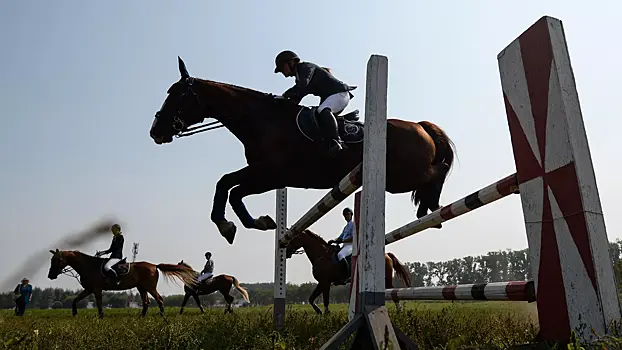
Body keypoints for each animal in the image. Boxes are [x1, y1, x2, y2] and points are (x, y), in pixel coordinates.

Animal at [46, 249, 197, 318]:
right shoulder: (89, 289)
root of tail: (154, 265)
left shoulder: (96, 289)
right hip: (141, 288)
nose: (50, 275)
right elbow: (75, 300)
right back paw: (142, 317)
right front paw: (74, 313)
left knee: (159, 299)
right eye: (51, 260)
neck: (88, 265)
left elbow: (99, 304)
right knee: (146, 302)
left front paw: (100, 317)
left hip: (149, 287)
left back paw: (162, 316)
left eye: (57, 260)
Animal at [149, 56, 456, 246]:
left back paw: (431, 207)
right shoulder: (267, 175)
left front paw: (241, 223)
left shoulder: (269, 174)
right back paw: (428, 211)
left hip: (401, 177)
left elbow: (231, 189)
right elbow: (226, 185)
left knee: (438, 171)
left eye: (177, 95)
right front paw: (239, 224)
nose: (155, 132)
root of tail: (420, 126)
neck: (261, 120)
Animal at [284, 230, 412, 314]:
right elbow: (311, 299)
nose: (287, 252)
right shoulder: (322, 282)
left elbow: (326, 300)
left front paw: (326, 316)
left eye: (294, 238)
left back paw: (399, 312)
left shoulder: (325, 282)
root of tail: (387, 254)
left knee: (394, 293)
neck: (322, 255)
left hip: (386, 279)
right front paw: (319, 311)